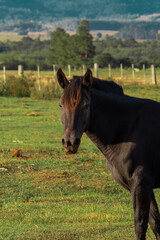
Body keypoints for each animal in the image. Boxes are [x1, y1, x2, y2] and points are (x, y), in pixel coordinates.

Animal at [57, 68, 160, 240]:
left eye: (86, 105)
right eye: (60, 105)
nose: (70, 143)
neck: (128, 128)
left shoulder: (141, 185)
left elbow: (140, 226)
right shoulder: (146, 187)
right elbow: (156, 224)